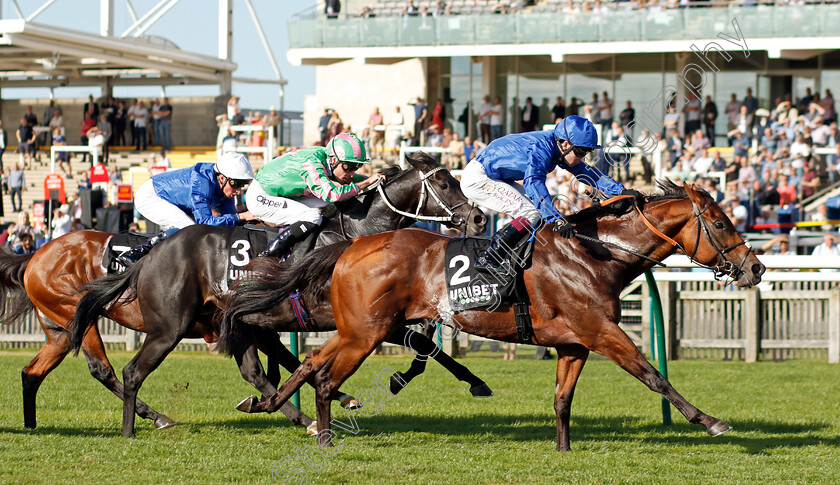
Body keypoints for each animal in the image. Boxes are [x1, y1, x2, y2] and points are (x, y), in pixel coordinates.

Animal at [72, 152, 492, 438]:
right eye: (444, 184)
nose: (479, 218)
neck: (359, 233)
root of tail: (150, 253)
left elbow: (427, 346)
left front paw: (470, 380)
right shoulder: (365, 319)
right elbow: (424, 344)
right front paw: (431, 379)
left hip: (232, 322)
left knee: (254, 373)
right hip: (169, 328)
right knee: (131, 372)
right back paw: (135, 428)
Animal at [221, 181, 768, 450]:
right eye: (720, 222)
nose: (756, 267)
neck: (595, 254)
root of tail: (352, 246)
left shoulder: (574, 343)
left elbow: (562, 400)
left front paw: (563, 451)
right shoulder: (601, 331)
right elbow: (654, 376)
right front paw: (710, 421)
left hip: (357, 329)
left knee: (313, 367)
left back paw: (271, 406)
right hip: (365, 334)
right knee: (326, 378)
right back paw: (324, 434)